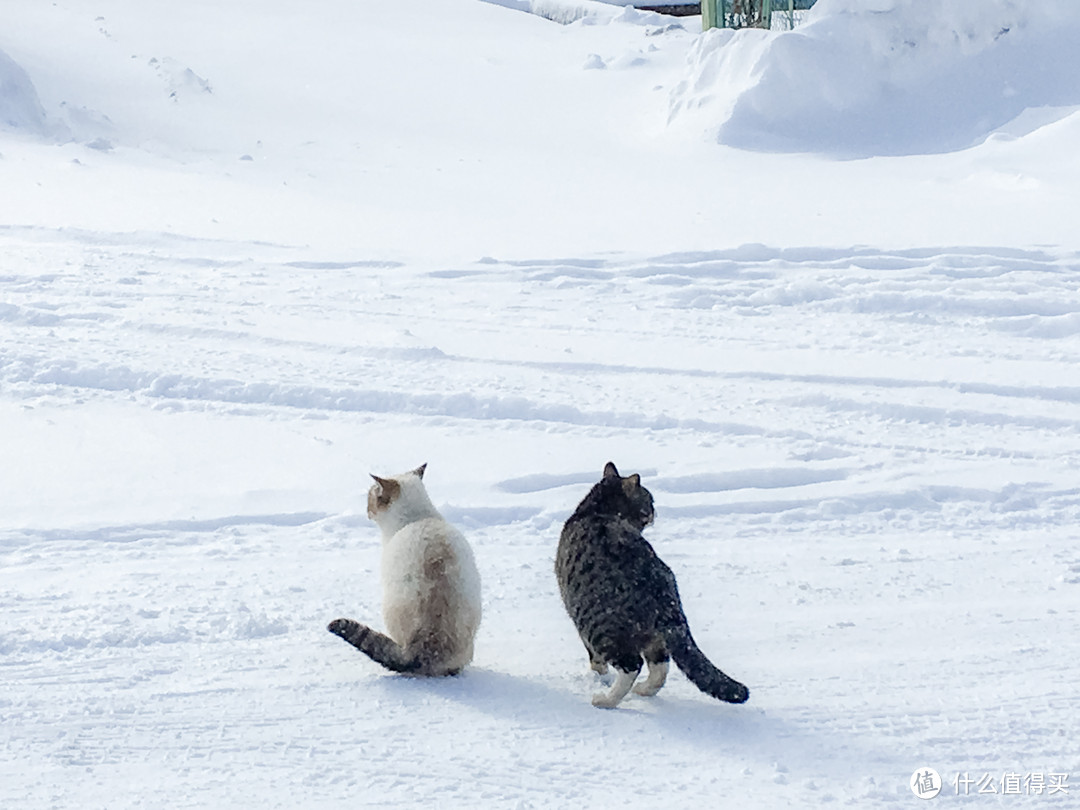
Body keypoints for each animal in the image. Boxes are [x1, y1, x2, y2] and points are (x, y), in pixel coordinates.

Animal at [552, 462, 747, 708]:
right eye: (650, 500)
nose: (655, 512)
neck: (594, 510)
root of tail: (662, 592)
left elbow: (596, 660)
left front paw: (597, 677)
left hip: (597, 624)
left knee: (632, 665)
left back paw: (606, 700)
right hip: (653, 636)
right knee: (659, 667)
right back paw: (643, 690)